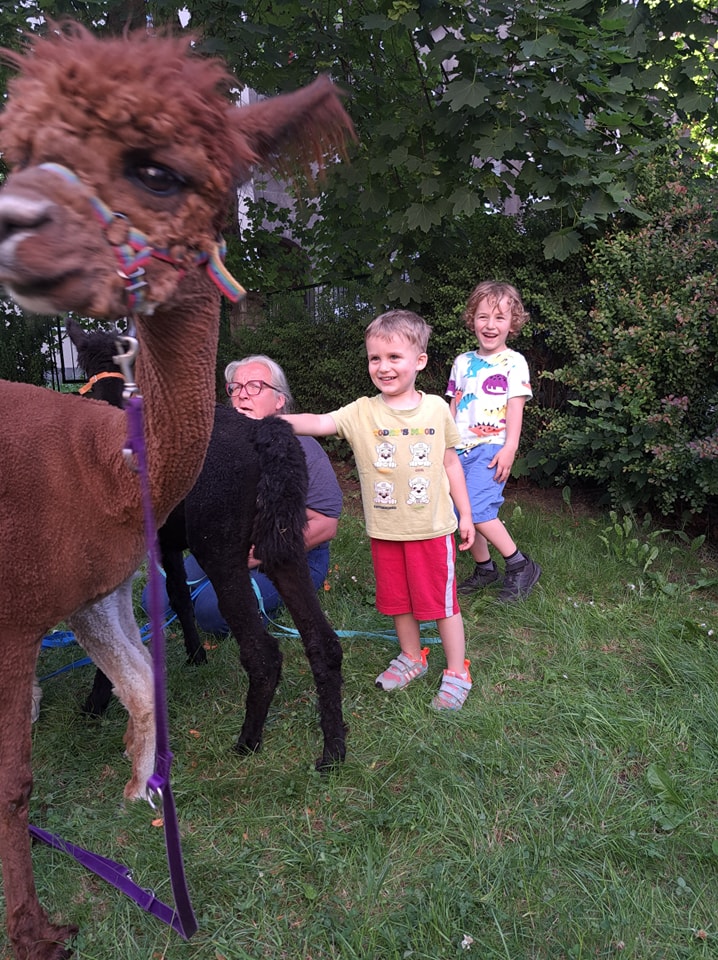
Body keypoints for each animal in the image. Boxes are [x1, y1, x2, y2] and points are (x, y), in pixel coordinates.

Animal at [0, 21, 353, 960]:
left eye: (159, 171)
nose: (20, 228)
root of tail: (269, 434)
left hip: (235, 547)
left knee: (270, 648)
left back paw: (250, 740)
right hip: (271, 543)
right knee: (320, 642)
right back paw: (329, 750)